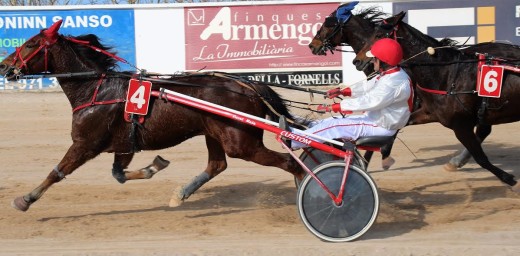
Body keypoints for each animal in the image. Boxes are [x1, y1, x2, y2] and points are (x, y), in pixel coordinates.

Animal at [0, 20, 304, 212]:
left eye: (32, 44)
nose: (4, 66)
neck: (95, 90)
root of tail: (248, 85)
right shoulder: (124, 144)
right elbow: (119, 174)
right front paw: (155, 165)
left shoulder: (85, 144)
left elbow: (57, 172)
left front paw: (25, 199)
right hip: (215, 134)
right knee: (217, 165)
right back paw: (180, 194)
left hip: (241, 142)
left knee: (290, 162)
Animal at [354, 12, 520, 192]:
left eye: (378, 35)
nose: (357, 61)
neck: (446, 73)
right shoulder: (429, 113)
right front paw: (367, 160)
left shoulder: (461, 125)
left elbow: (481, 158)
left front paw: (511, 180)